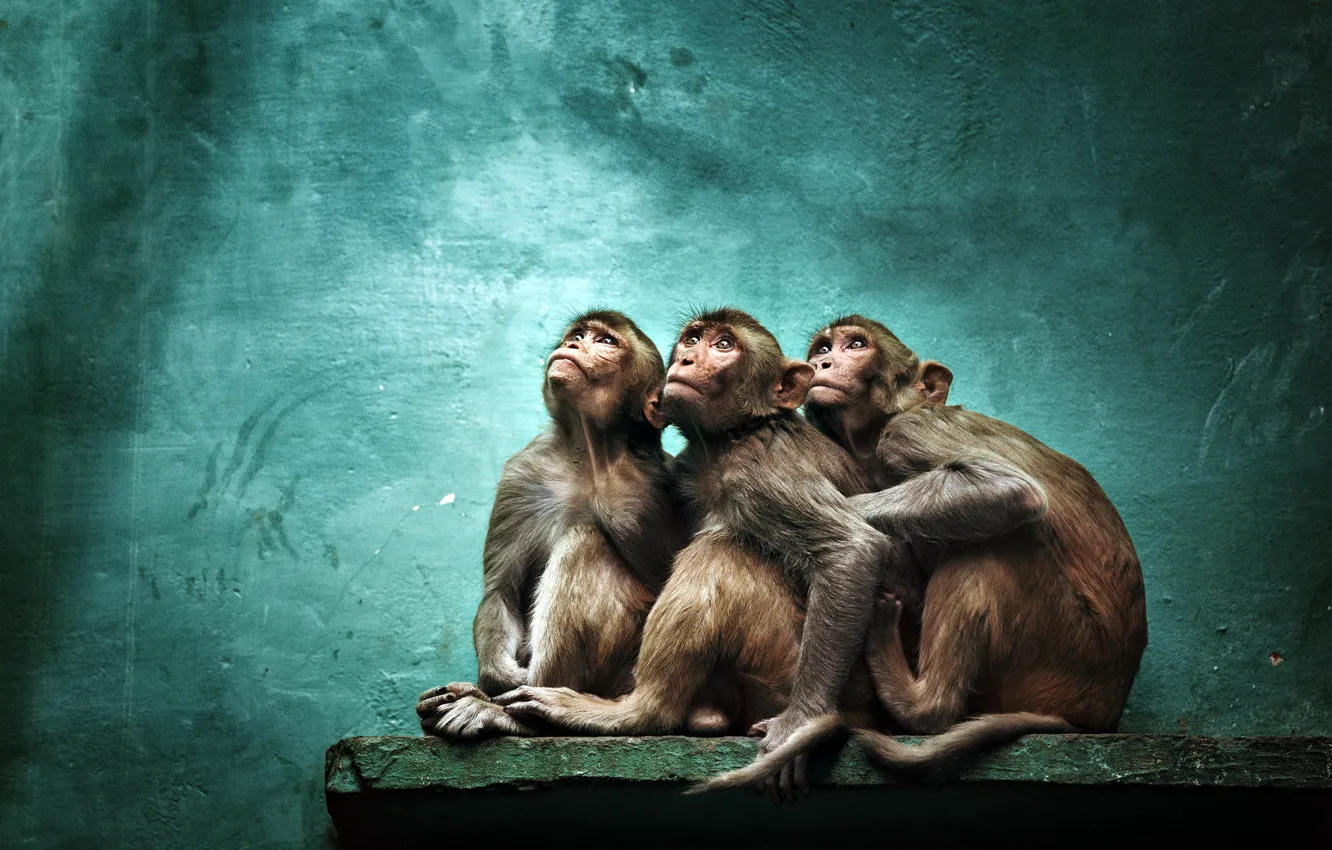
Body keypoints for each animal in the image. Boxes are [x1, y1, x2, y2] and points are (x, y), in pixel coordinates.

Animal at [415, 310, 689, 739]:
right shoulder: (523, 473)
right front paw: (498, 674)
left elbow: (671, 579)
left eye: (605, 342)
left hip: (621, 678)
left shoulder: (657, 478)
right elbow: (502, 590)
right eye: (577, 334)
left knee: (585, 541)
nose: (574, 344)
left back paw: (513, 715)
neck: (584, 455)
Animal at [494, 308, 894, 802]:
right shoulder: (683, 471)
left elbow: (851, 550)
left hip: (781, 668)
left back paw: (640, 712)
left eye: (724, 345)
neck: (730, 440)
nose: (685, 359)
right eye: (692, 339)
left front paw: (802, 721)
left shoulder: (763, 472)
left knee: (717, 553)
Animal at [799, 314, 1148, 770]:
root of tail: (1102, 715)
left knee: (993, 544)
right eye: (823, 349)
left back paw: (922, 703)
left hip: (1063, 651)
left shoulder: (910, 433)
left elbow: (1010, 489)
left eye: (856, 345)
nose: (822, 364)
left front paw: (843, 510)